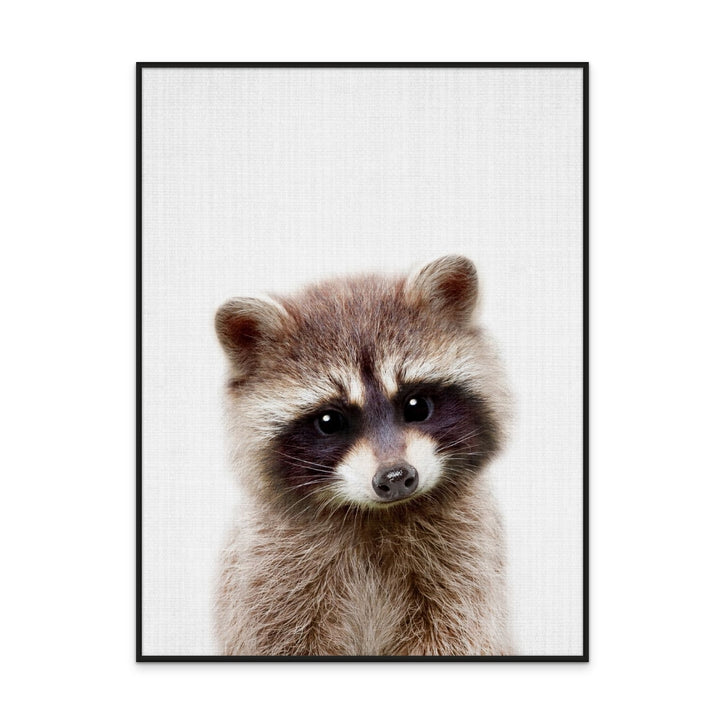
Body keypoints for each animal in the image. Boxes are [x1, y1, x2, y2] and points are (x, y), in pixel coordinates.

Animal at [214, 255, 513, 656]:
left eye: (417, 406)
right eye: (329, 421)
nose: (396, 478)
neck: (375, 515)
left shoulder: (466, 560)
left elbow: (458, 632)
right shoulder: (269, 572)